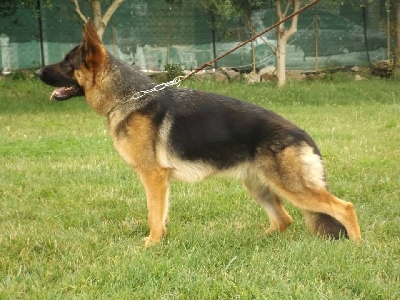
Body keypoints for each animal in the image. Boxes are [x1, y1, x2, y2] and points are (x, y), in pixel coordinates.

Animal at [38, 21, 362, 246]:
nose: (38, 72)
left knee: (345, 208)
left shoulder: (153, 177)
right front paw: (160, 241)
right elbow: (161, 215)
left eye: (66, 63)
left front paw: (151, 244)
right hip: (259, 186)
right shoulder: (160, 181)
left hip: (292, 188)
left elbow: (153, 215)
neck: (128, 97)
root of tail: (303, 134)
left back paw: (357, 247)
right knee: (284, 219)